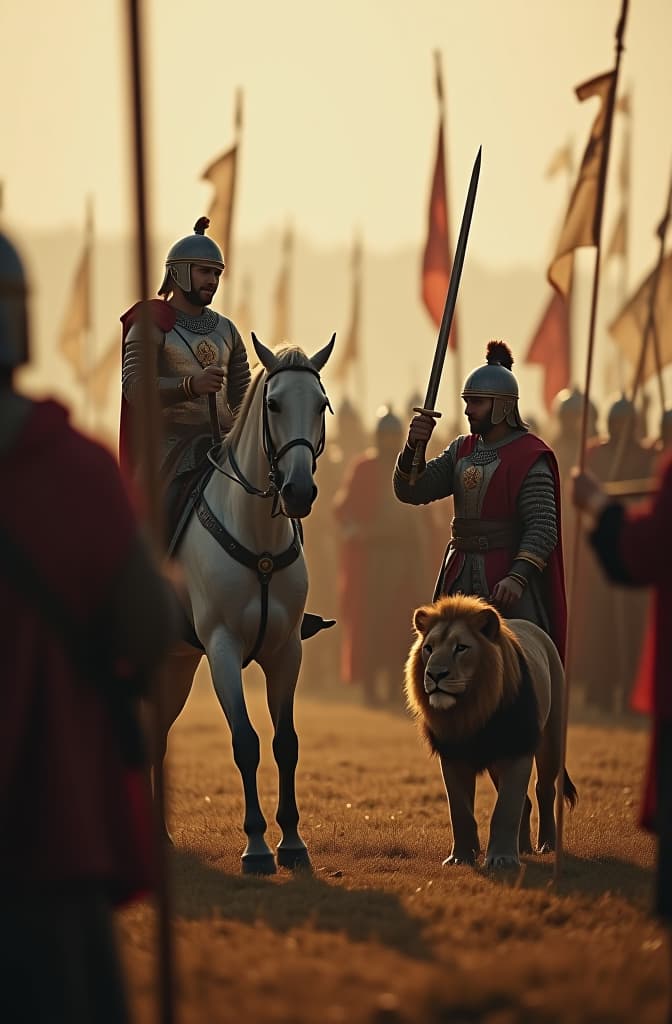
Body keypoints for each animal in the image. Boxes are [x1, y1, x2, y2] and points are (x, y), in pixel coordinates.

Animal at [157, 333, 336, 872]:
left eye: (320, 405)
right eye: (273, 404)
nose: (299, 491)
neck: (258, 540)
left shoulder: (286, 652)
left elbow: (285, 743)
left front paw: (293, 842)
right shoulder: (222, 650)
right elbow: (245, 742)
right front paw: (256, 846)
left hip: (176, 664)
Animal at [403, 598, 577, 868]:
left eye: (461, 648)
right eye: (428, 648)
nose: (434, 674)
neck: (471, 709)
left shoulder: (518, 750)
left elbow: (506, 808)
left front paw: (502, 859)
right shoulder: (452, 755)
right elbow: (460, 811)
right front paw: (460, 857)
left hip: (551, 742)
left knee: (544, 790)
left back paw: (547, 844)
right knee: (527, 803)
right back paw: (523, 847)